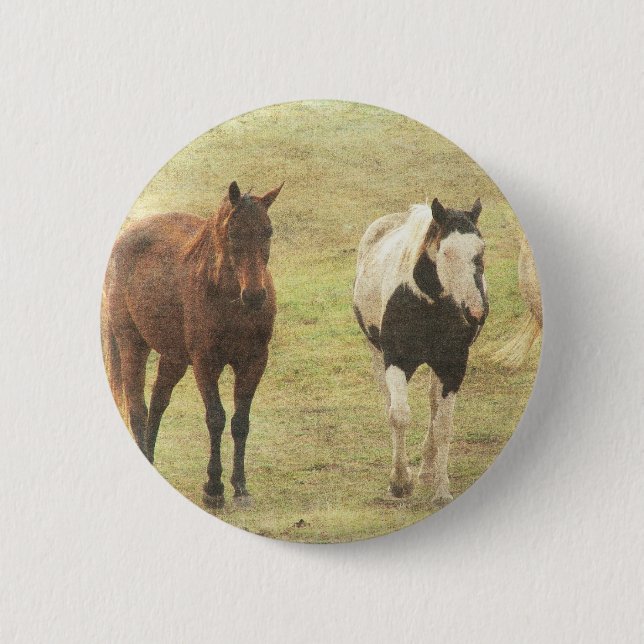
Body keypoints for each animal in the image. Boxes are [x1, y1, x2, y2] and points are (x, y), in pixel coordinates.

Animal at [101, 180, 283, 508]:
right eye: (233, 234)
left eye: (268, 231)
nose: (254, 296)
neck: (228, 300)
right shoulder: (205, 363)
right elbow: (216, 418)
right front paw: (213, 487)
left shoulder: (254, 361)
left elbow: (240, 421)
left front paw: (240, 487)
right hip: (132, 345)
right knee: (137, 408)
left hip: (174, 358)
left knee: (158, 402)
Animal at [353, 197, 488, 505]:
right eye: (446, 251)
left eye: (481, 249)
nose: (477, 313)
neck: (428, 305)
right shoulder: (396, 360)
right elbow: (399, 415)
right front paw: (400, 483)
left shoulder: (453, 365)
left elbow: (443, 425)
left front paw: (441, 490)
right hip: (377, 356)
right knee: (390, 404)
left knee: (433, 406)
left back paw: (427, 469)